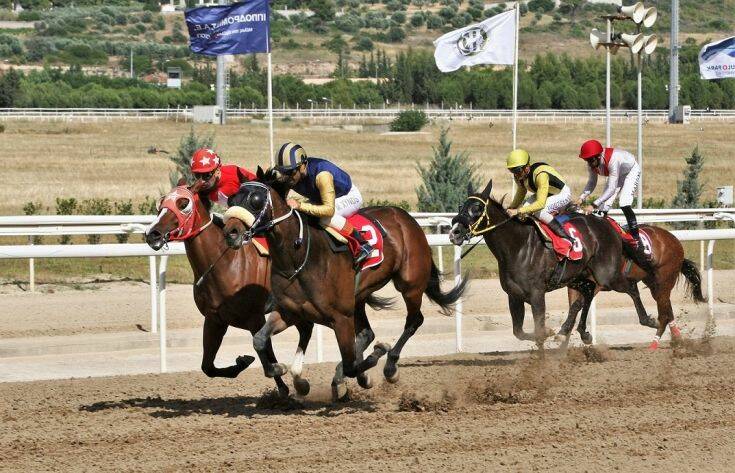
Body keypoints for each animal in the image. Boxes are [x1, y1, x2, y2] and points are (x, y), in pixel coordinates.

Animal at [144, 181, 290, 394]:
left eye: (183, 204)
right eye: (161, 203)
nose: (152, 234)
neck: (225, 263)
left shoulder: (254, 317)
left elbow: (266, 351)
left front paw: (284, 387)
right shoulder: (214, 319)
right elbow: (207, 367)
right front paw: (242, 362)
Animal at [221, 169, 468, 398]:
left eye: (255, 200)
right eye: (232, 199)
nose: (230, 232)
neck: (298, 257)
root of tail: (406, 218)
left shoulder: (340, 317)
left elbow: (352, 363)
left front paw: (371, 364)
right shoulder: (291, 312)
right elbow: (259, 340)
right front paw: (278, 368)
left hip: (410, 284)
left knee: (414, 321)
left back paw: (390, 366)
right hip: (358, 297)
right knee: (367, 333)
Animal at [448, 179, 640, 344]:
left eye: (478, 208)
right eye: (461, 206)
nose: (455, 232)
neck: (517, 246)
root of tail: (610, 224)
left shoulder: (537, 294)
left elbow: (539, 330)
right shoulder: (514, 296)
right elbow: (519, 332)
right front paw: (549, 333)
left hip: (607, 275)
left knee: (627, 287)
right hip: (578, 276)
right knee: (587, 294)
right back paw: (581, 333)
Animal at [560, 223, 704, 348]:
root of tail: (674, 240)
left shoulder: (598, 283)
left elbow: (577, 305)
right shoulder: (574, 283)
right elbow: (573, 307)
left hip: (664, 280)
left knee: (664, 314)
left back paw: (654, 345)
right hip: (654, 284)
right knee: (667, 310)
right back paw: (676, 339)